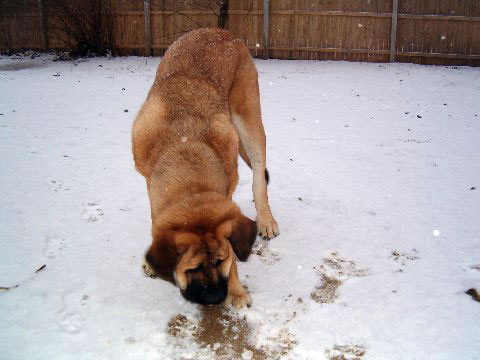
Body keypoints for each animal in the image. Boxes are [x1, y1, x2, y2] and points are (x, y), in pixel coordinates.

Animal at [131, 28, 280, 310]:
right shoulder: (148, 180)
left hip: (250, 121)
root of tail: (219, 31)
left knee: (259, 176)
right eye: (191, 269)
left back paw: (266, 220)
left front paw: (236, 290)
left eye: (220, 261)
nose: (214, 299)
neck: (185, 148)